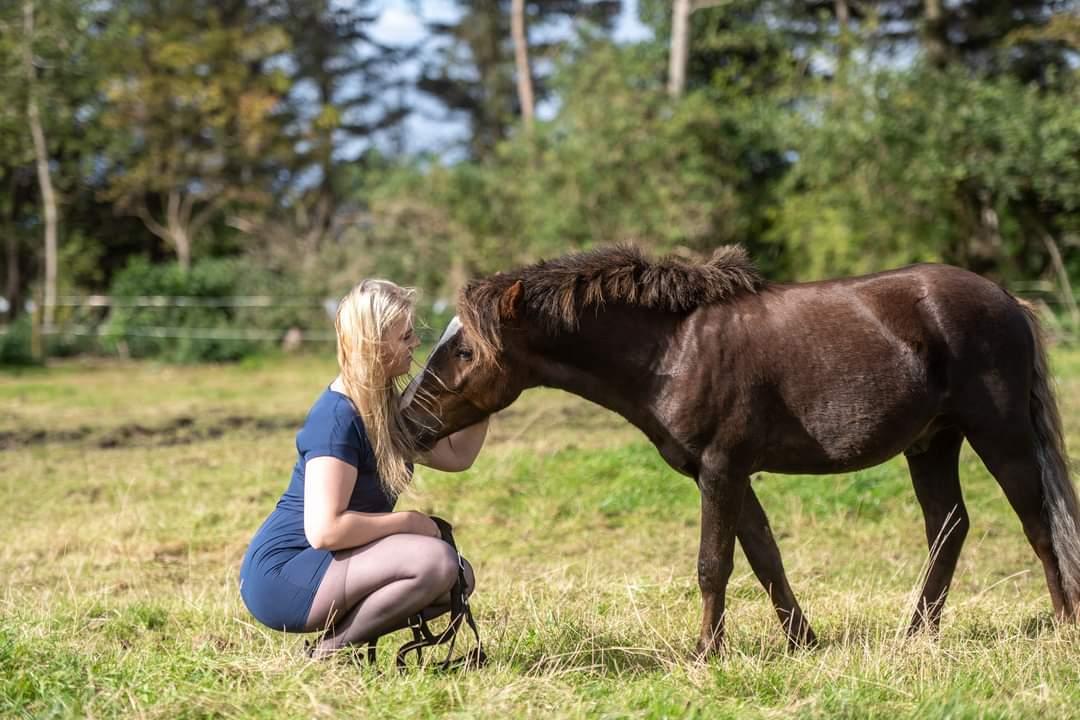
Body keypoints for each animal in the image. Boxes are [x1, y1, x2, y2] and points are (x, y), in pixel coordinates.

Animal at [403, 245, 1080, 656]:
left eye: (464, 350)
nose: (407, 421)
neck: (674, 349)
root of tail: (1008, 301)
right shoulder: (730, 475)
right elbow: (765, 559)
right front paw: (803, 643)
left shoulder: (721, 470)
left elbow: (714, 564)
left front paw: (706, 653)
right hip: (931, 443)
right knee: (947, 527)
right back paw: (914, 636)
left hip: (998, 433)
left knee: (1037, 523)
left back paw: (1063, 625)